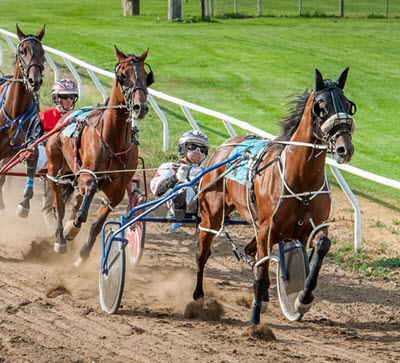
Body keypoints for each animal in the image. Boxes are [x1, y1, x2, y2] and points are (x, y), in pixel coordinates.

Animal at [45, 46, 152, 262]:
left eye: (146, 76)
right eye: (122, 75)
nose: (140, 107)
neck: (114, 142)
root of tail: (67, 117)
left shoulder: (117, 191)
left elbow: (96, 224)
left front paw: (83, 255)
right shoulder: (87, 174)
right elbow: (85, 203)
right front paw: (70, 229)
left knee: (76, 201)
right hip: (55, 168)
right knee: (59, 204)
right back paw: (61, 238)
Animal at [194, 68, 356, 324]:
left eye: (348, 105)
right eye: (321, 106)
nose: (344, 149)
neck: (300, 179)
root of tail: (226, 146)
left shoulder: (311, 227)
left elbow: (322, 246)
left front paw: (302, 299)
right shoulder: (267, 230)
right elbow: (261, 273)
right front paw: (254, 322)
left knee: (250, 250)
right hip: (212, 213)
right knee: (202, 254)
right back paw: (198, 296)